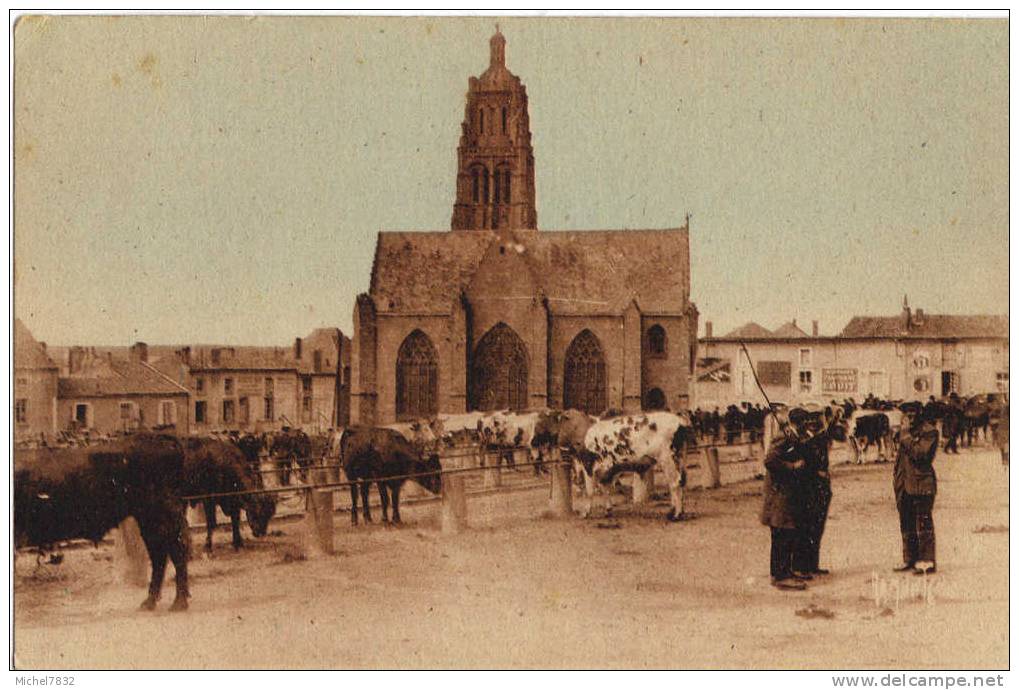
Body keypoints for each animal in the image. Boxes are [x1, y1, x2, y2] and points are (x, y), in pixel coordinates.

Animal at [12, 434, 191, 611]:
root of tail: (164, 440)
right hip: (148, 520)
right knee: (159, 554)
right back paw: (150, 602)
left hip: (161, 516)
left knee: (175, 550)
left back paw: (178, 603)